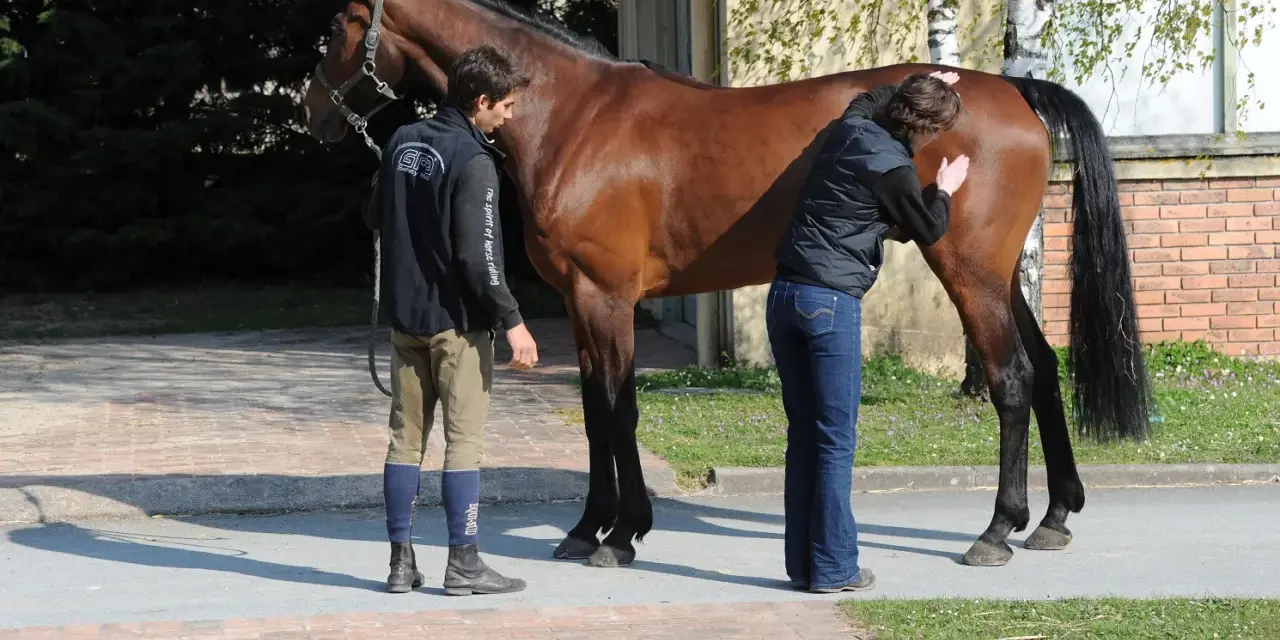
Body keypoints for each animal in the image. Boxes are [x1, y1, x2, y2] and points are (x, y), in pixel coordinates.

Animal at [301, 0, 1152, 569]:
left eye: (341, 23)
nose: (311, 112)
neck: (572, 116)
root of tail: (1012, 93)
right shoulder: (581, 303)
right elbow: (594, 413)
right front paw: (586, 528)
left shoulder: (605, 298)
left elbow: (617, 410)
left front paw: (622, 534)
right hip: (1001, 276)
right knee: (1045, 371)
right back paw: (1053, 517)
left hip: (968, 270)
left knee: (1010, 380)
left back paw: (997, 530)